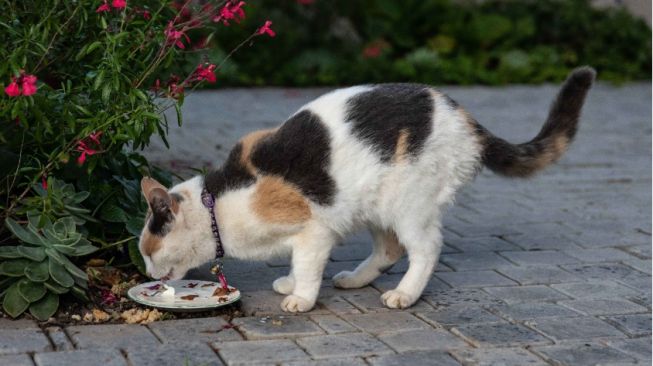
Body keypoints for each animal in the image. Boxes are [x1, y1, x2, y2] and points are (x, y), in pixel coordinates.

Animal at [138, 67, 596, 314]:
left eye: (148, 251)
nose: (145, 274)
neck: (217, 203)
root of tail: (464, 117)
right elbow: (298, 263)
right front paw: (290, 284)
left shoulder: (314, 231)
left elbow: (307, 265)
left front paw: (300, 297)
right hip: (375, 204)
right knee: (390, 248)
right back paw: (356, 280)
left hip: (409, 202)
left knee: (426, 248)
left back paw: (404, 294)